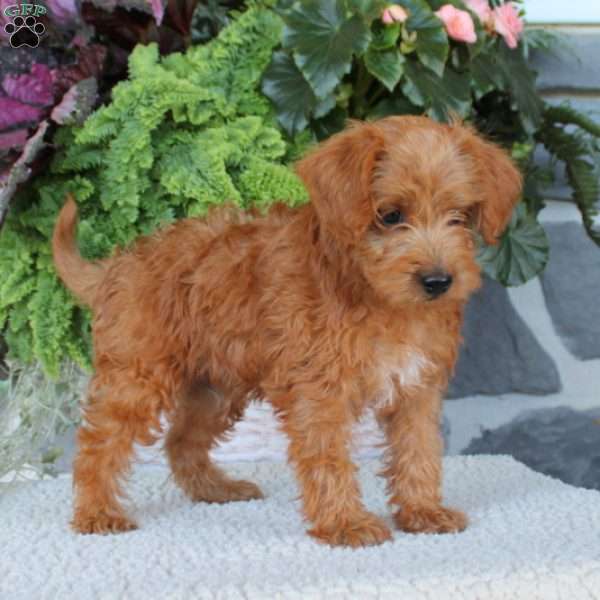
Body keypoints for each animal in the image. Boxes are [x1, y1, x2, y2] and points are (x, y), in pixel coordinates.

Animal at [52, 115, 520, 548]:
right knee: (97, 444)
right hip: (138, 378)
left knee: (180, 441)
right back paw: (97, 513)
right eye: (390, 216)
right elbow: (329, 457)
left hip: (215, 390)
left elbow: (419, 451)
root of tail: (118, 264)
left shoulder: (416, 389)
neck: (378, 298)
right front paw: (345, 523)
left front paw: (423, 511)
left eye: (459, 216)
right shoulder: (320, 393)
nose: (439, 281)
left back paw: (216, 489)